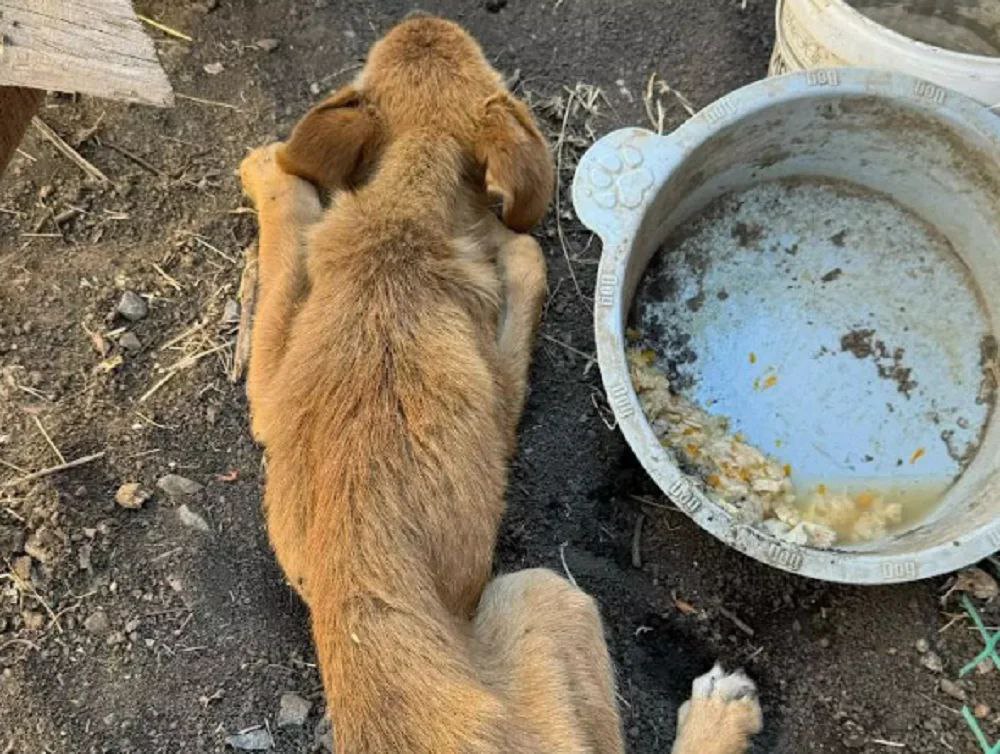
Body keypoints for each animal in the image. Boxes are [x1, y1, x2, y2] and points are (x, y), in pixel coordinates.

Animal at [238, 13, 760, 752]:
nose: (423, 21)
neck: (403, 213)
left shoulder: (270, 388)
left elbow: (284, 260)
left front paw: (266, 172)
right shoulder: (500, 390)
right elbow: (529, 258)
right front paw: (512, 246)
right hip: (545, 597)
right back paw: (721, 714)